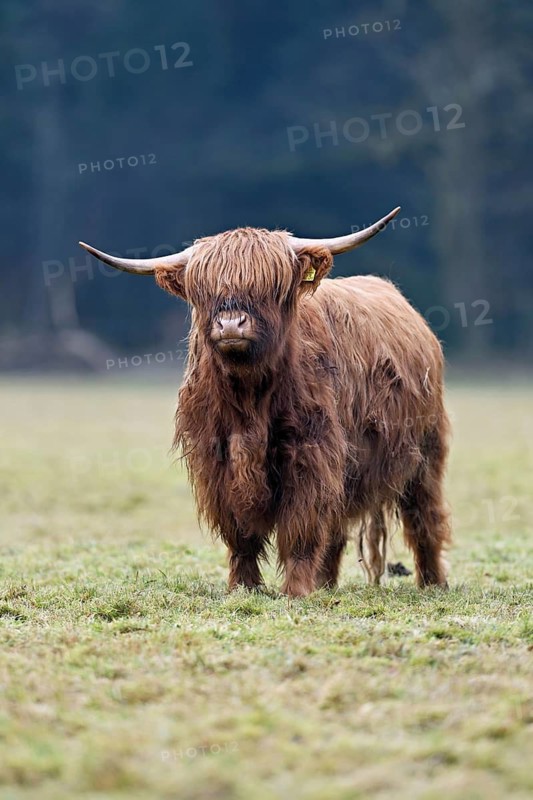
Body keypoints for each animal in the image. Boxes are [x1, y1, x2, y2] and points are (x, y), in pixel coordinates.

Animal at [80, 207, 451, 597]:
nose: (230, 324)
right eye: (204, 291)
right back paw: (326, 585)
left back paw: (432, 583)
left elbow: (301, 526)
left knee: (424, 518)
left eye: (269, 287)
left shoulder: (310, 452)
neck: (249, 399)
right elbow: (240, 533)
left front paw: (297, 591)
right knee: (337, 529)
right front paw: (244, 587)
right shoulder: (216, 458)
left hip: (425, 451)